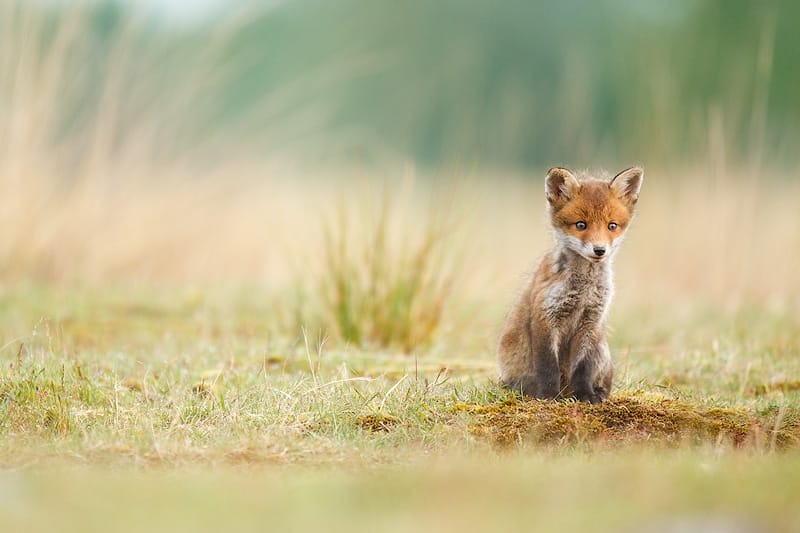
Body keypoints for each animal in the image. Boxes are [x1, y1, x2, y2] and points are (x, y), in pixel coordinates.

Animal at [496, 166, 643, 403]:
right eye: (581, 225)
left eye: (612, 226)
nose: (599, 250)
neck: (584, 290)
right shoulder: (546, 317)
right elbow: (548, 366)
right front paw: (548, 396)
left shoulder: (591, 322)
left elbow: (583, 368)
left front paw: (585, 395)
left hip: (602, 349)